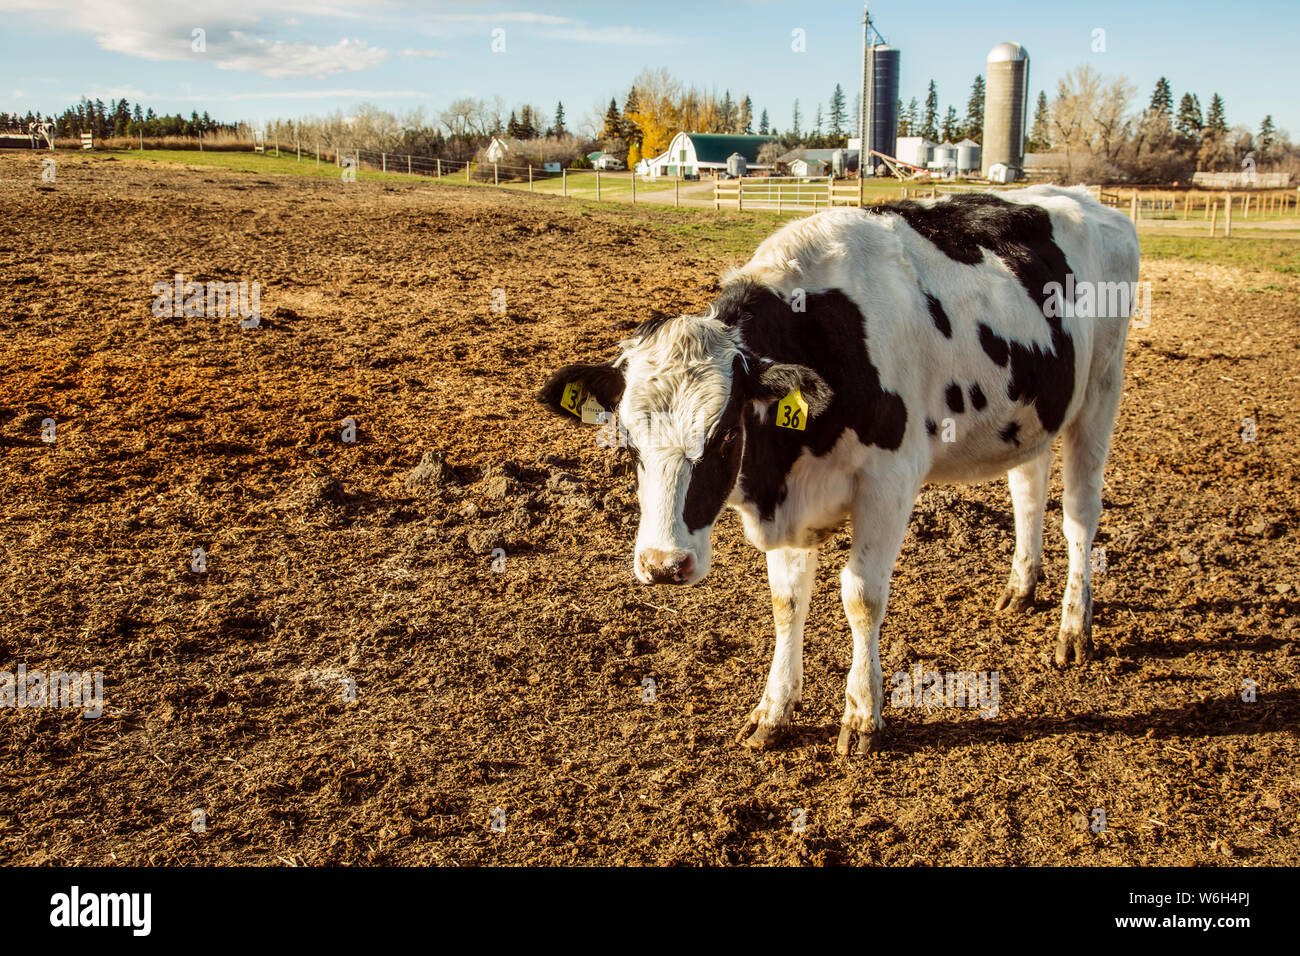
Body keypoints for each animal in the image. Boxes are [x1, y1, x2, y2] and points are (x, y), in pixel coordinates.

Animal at [538, 184, 1138, 754]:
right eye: (626, 442)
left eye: (726, 434)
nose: (663, 565)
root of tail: (1088, 200)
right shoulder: (791, 500)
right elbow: (786, 601)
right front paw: (773, 710)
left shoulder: (890, 480)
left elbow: (861, 596)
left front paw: (863, 716)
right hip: (1033, 412)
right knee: (1028, 490)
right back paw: (1020, 588)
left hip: (1101, 389)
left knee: (1080, 514)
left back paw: (1074, 629)